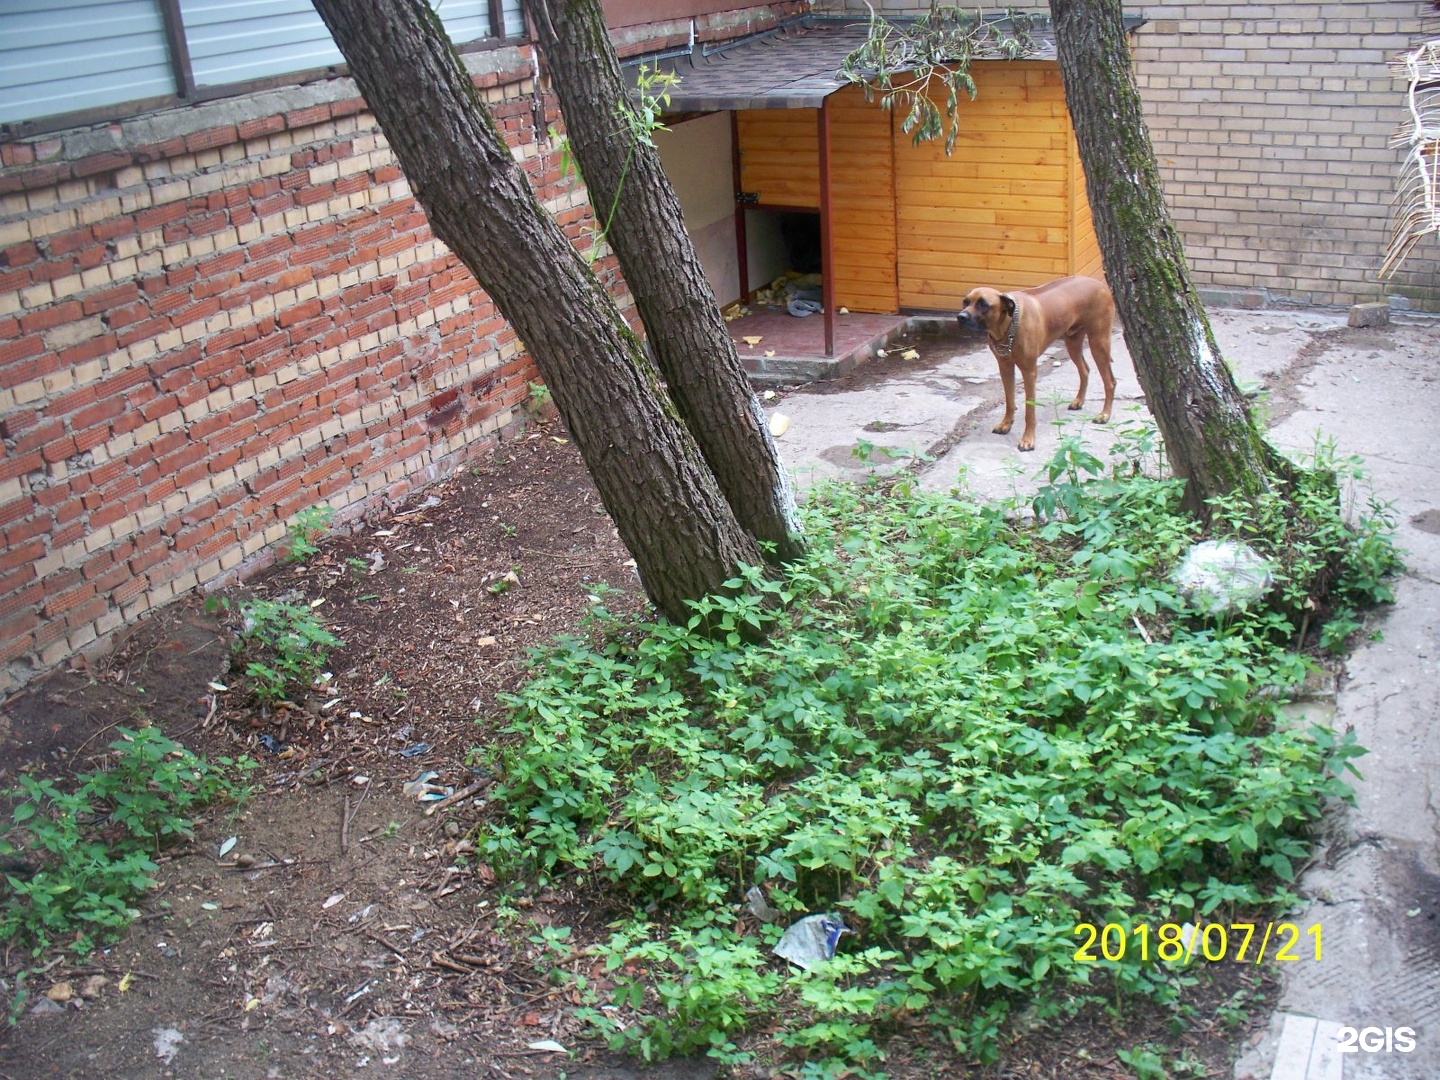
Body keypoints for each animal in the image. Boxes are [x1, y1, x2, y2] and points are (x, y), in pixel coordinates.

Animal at [961, 279, 1117, 452]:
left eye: (983, 304)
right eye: (965, 302)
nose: (960, 317)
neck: (1008, 325)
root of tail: (1100, 284)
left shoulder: (1029, 371)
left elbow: (1030, 411)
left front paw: (1028, 439)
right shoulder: (1005, 367)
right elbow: (1009, 400)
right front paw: (1006, 423)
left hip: (1099, 342)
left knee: (1110, 381)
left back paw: (1105, 414)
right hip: (1073, 340)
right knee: (1085, 369)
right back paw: (1078, 401)